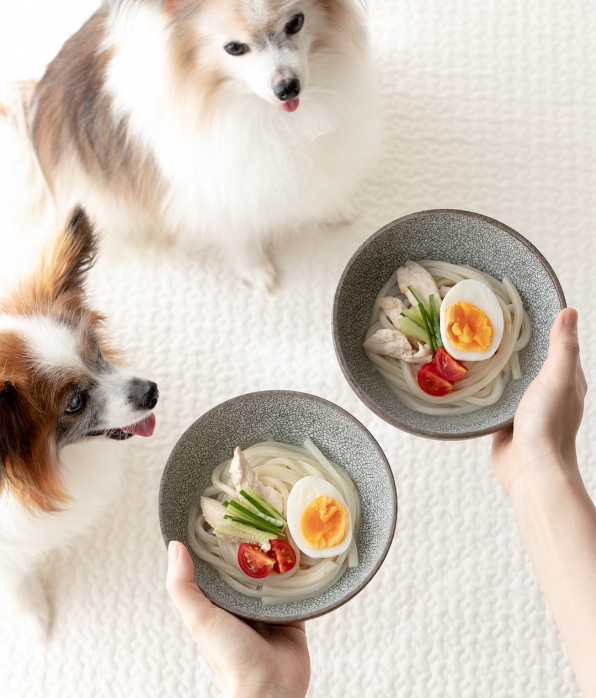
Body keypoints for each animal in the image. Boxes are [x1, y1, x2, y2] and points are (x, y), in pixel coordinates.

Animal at [2, 0, 380, 288]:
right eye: (234, 48)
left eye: (296, 23)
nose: (287, 87)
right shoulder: (213, 185)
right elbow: (238, 232)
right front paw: (255, 270)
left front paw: (334, 207)